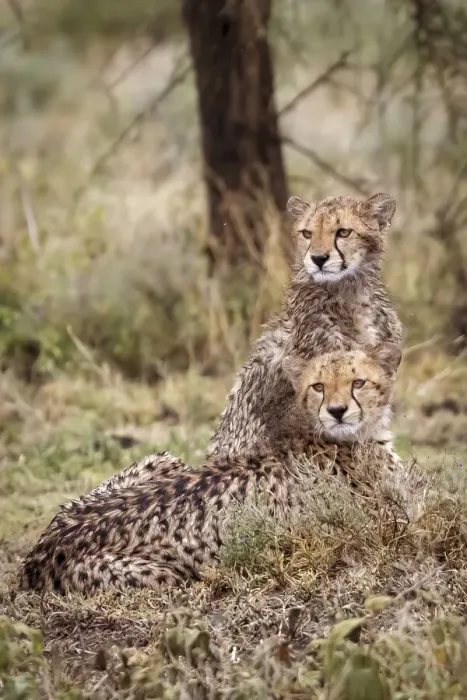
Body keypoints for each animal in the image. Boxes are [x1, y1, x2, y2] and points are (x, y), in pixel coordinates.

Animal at [19, 346, 400, 596]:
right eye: (318, 386)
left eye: (358, 382)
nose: (337, 411)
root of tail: (44, 547)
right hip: (165, 577)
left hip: (164, 459)